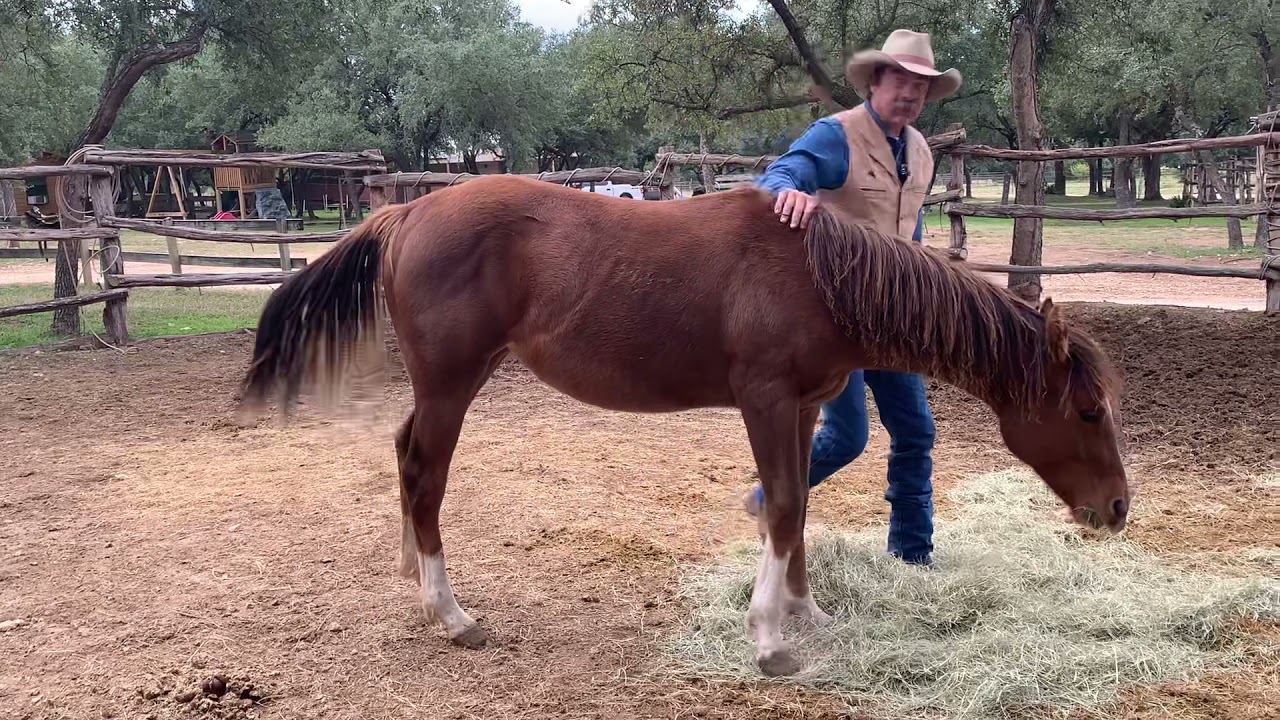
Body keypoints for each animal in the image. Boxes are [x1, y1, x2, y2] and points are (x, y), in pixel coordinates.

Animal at [237, 174, 1129, 678]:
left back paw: (415, 586)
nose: (1119, 509)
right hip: (453, 385)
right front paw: (769, 642)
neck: (818, 276)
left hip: (455, 381)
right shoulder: (765, 400)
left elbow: (797, 506)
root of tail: (405, 214)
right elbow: (781, 507)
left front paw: (805, 614)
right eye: (1088, 410)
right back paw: (454, 616)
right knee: (426, 476)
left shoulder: (804, 405)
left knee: (403, 457)